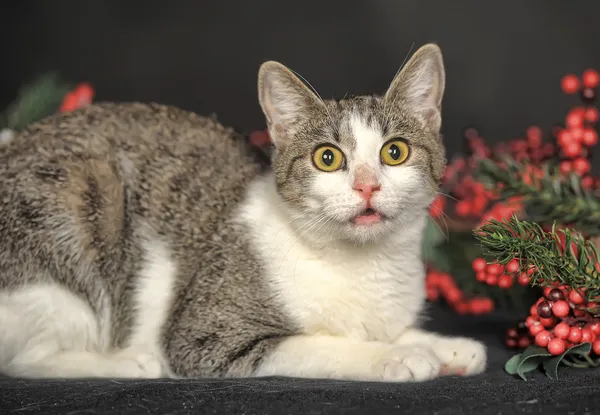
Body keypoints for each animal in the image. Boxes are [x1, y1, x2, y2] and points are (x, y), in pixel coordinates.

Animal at [0, 44, 488, 382]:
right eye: (327, 158)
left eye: (394, 152)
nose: (367, 184)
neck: (363, 266)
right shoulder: (208, 337)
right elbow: (322, 344)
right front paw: (395, 354)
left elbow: (386, 328)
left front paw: (442, 346)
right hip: (81, 201)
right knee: (25, 360)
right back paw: (129, 363)